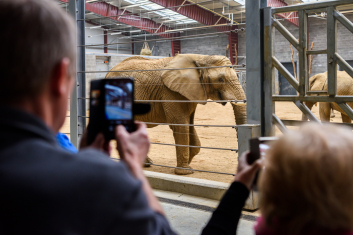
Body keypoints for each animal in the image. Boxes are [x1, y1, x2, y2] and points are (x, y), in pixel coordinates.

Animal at [106, 53, 246, 174]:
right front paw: (185, 172)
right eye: (221, 79)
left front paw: (188, 162)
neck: (200, 58)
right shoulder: (171, 92)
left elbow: (190, 125)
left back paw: (145, 163)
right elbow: (180, 125)